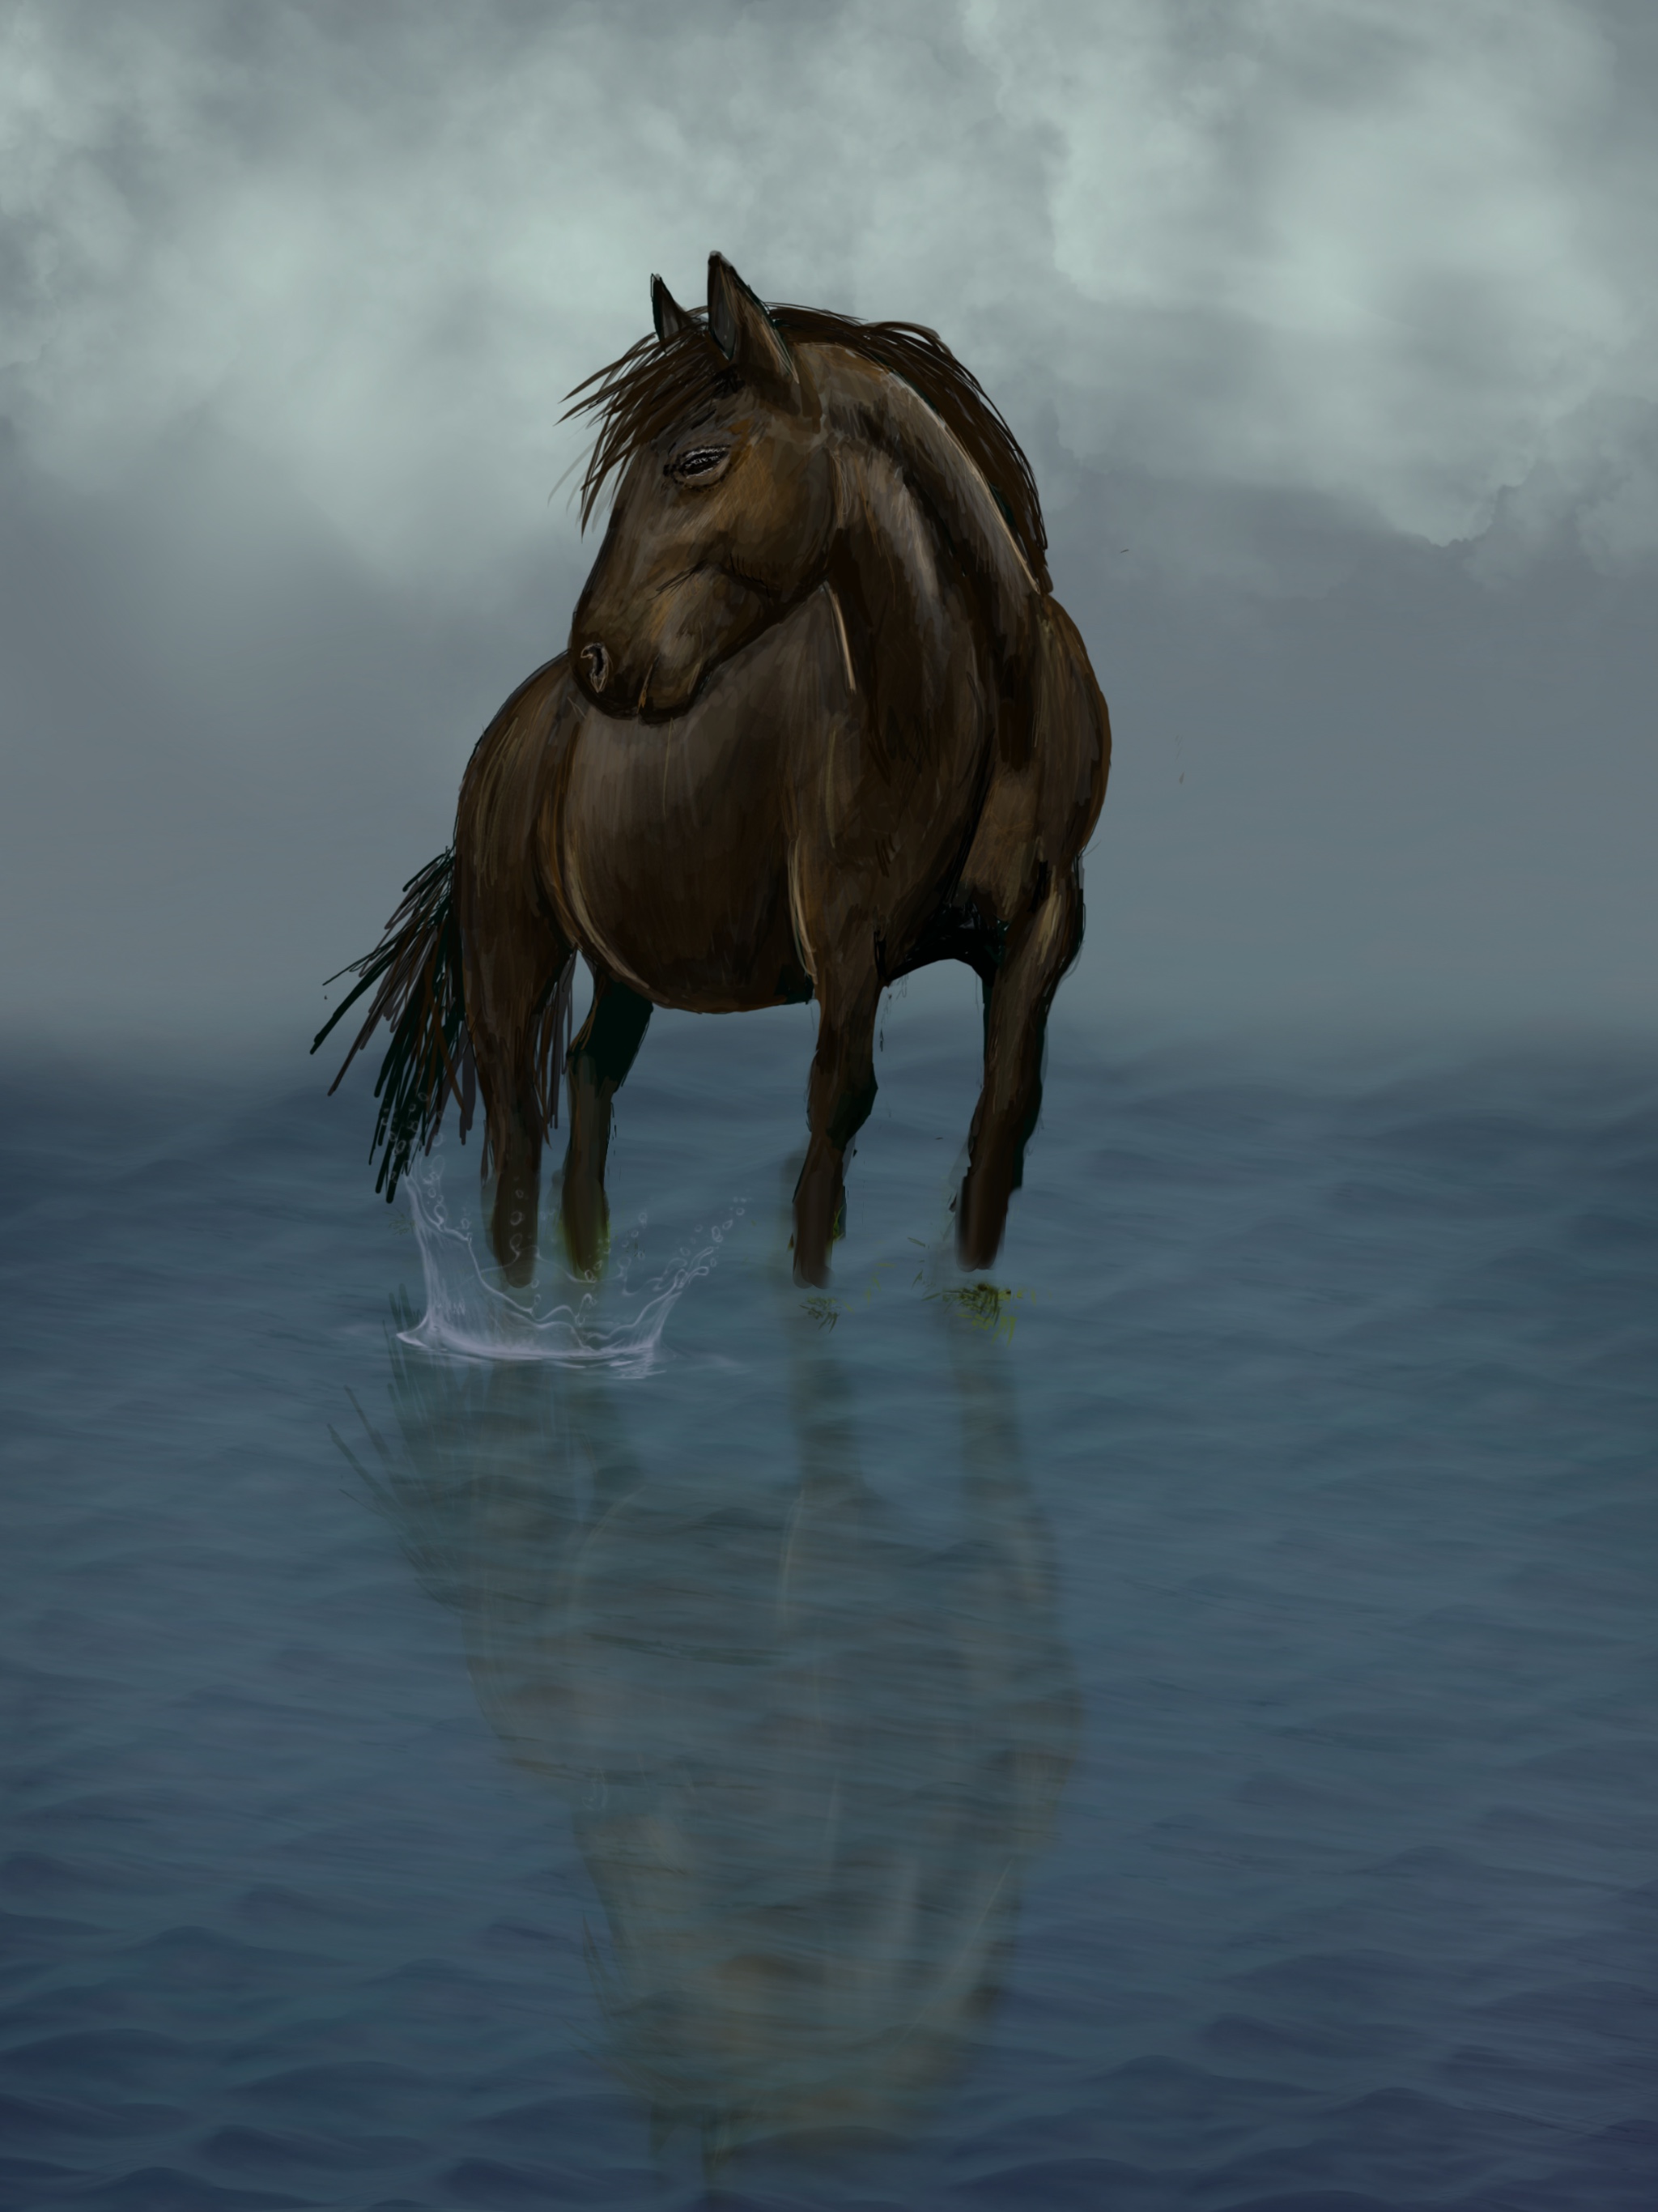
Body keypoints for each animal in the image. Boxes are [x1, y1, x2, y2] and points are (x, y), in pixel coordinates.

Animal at [316, 252, 1110, 1287]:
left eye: (696, 460)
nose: (597, 658)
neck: (985, 722)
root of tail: (518, 723)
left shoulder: (1037, 940)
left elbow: (1000, 1125)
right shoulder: (847, 948)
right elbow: (836, 1113)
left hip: (620, 969)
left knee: (588, 1075)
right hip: (507, 960)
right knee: (517, 1127)